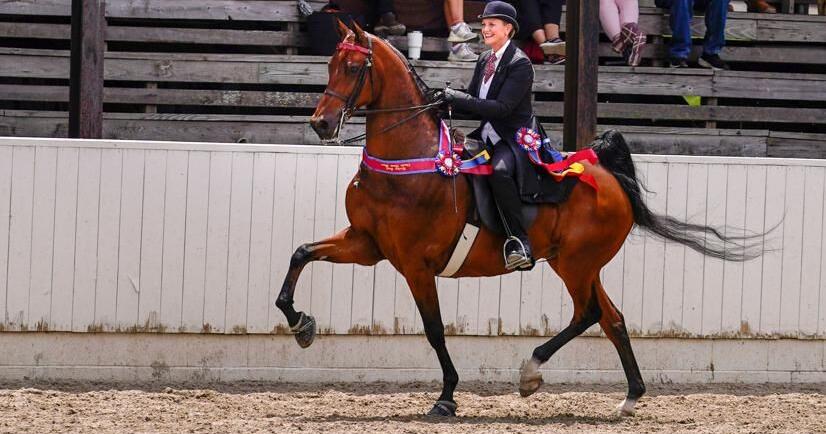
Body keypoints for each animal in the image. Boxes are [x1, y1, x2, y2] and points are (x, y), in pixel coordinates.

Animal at [275, 21, 762, 417]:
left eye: (354, 67)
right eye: (330, 64)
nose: (321, 124)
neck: (407, 161)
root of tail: (608, 174)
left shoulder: (415, 263)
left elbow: (434, 330)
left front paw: (446, 397)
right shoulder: (366, 244)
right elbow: (301, 253)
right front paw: (301, 324)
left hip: (576, 264)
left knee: (588, 313)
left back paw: (531, 370)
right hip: (580, 264)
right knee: (612, 318)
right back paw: (629, 397)